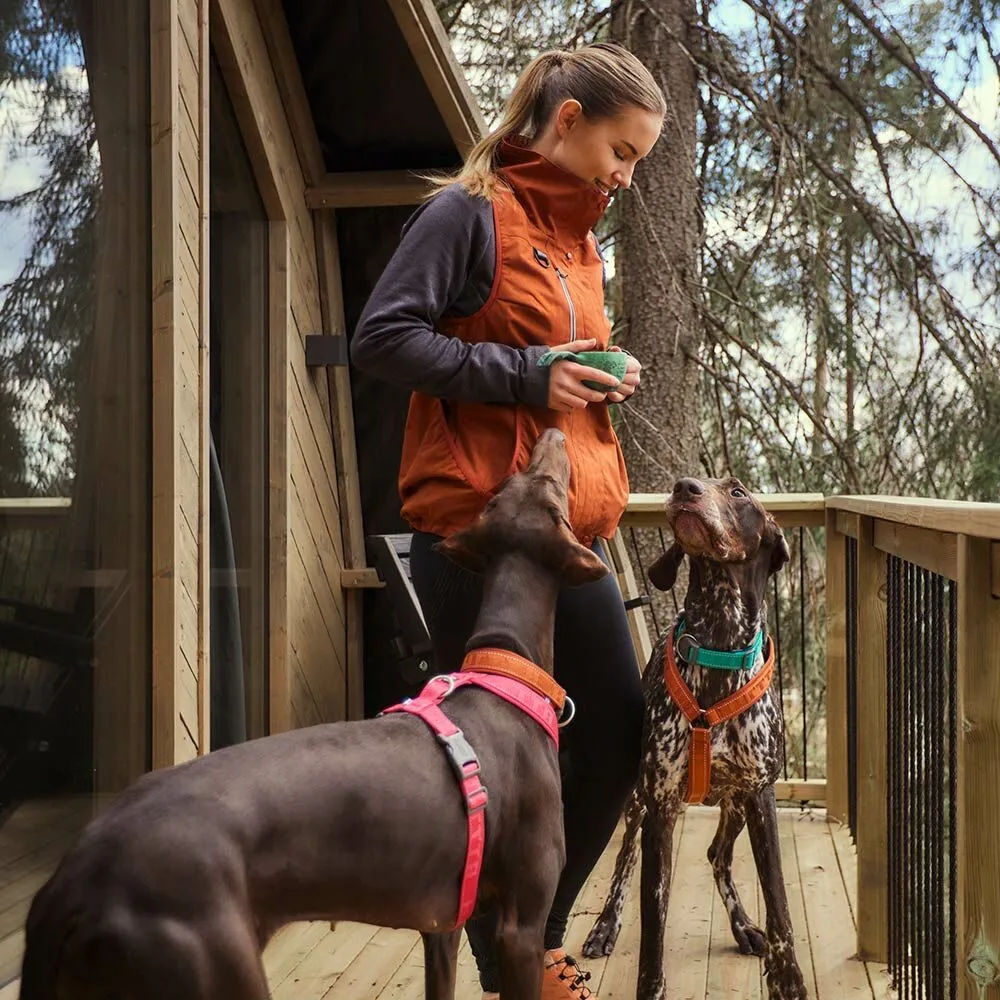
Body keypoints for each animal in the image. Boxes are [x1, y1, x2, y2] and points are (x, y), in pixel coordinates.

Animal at [584, 476, 808, 1000]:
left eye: (739, 492)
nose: (684, 488)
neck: (718, 646)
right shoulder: (661, 808)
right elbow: (653, 926)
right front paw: (650, 986)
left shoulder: (761, 796)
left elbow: (780, 905)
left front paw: (787, 978)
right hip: (638, 800)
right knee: (624, 858)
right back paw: (605, 925)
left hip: (736, 805)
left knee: (716, 856)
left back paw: (744, 925)